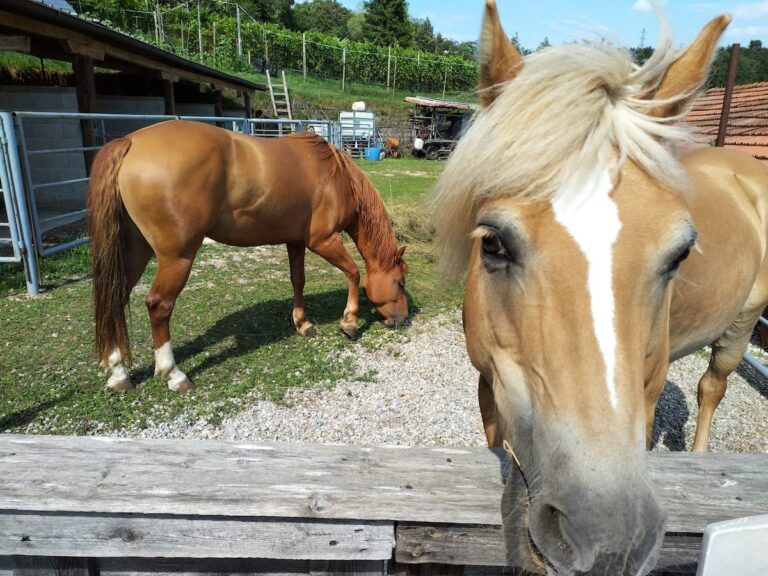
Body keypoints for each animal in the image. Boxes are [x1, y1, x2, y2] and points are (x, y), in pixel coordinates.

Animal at [88, 121, 408, 392]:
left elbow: (298, 281)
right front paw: (349, 322)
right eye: (401, 282)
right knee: (158, 306)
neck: (336, 176)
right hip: (176, 257)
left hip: (135, 251)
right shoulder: (323, 241)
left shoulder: (295, 241)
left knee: (116, 298)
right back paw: (173, 374)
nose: (402, 320)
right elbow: (354, 272)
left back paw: (118, 373)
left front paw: (303, 324)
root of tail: (131, 141)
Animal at [432, 2, 768, 572]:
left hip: (741, 326)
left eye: (681, 253)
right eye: (492, 243)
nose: (609, 541)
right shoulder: (487, 385)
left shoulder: (647, 389)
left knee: (712, 386)